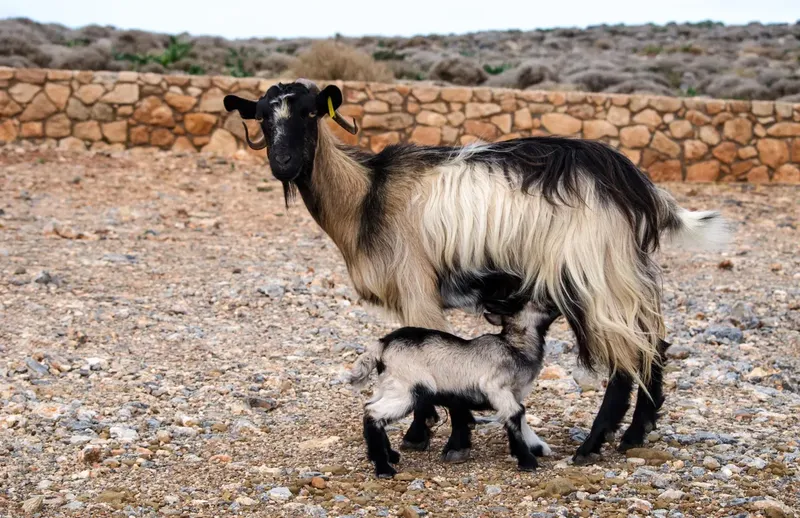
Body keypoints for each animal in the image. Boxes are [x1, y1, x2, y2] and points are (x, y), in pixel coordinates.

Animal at [349, 303, 558, 477]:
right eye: (539, 304)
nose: (556, 306)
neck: (514, 346)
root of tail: (383, 344)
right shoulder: (497, 389)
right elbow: (515, 414)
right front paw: (527, 461)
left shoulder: (514, 393)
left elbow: (520, 416)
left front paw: (538, 448)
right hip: (407, 390)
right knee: (373, 413)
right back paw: (384, 468)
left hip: (388, 386)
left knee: (369, 406)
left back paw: (389, 455)